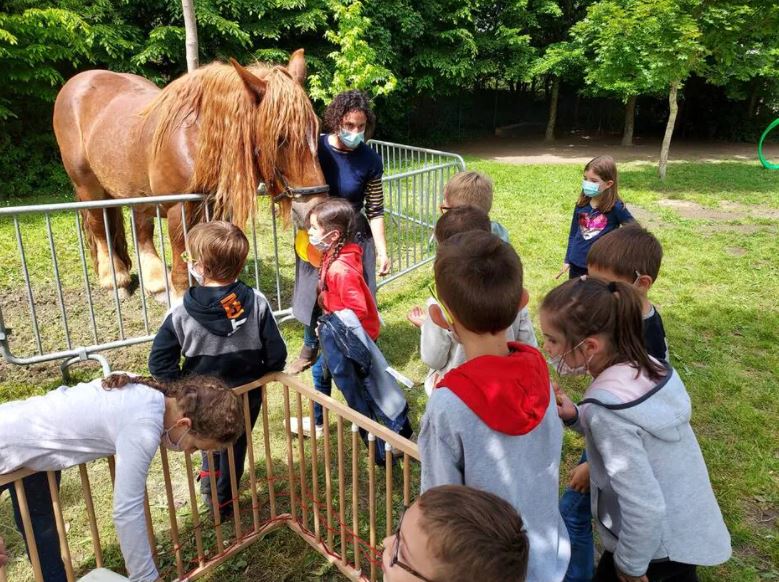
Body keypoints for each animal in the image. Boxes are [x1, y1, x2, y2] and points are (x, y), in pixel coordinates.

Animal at [53, 50, 330, 302]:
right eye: (280, 138)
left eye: (316, 128)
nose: (313, 208)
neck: (196, 143)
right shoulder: (180, 211)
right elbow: (180, 269)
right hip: (88, 186)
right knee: (98, 227)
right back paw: (114, 279)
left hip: (135, 191)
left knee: (141, 230)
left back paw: (155, 284)